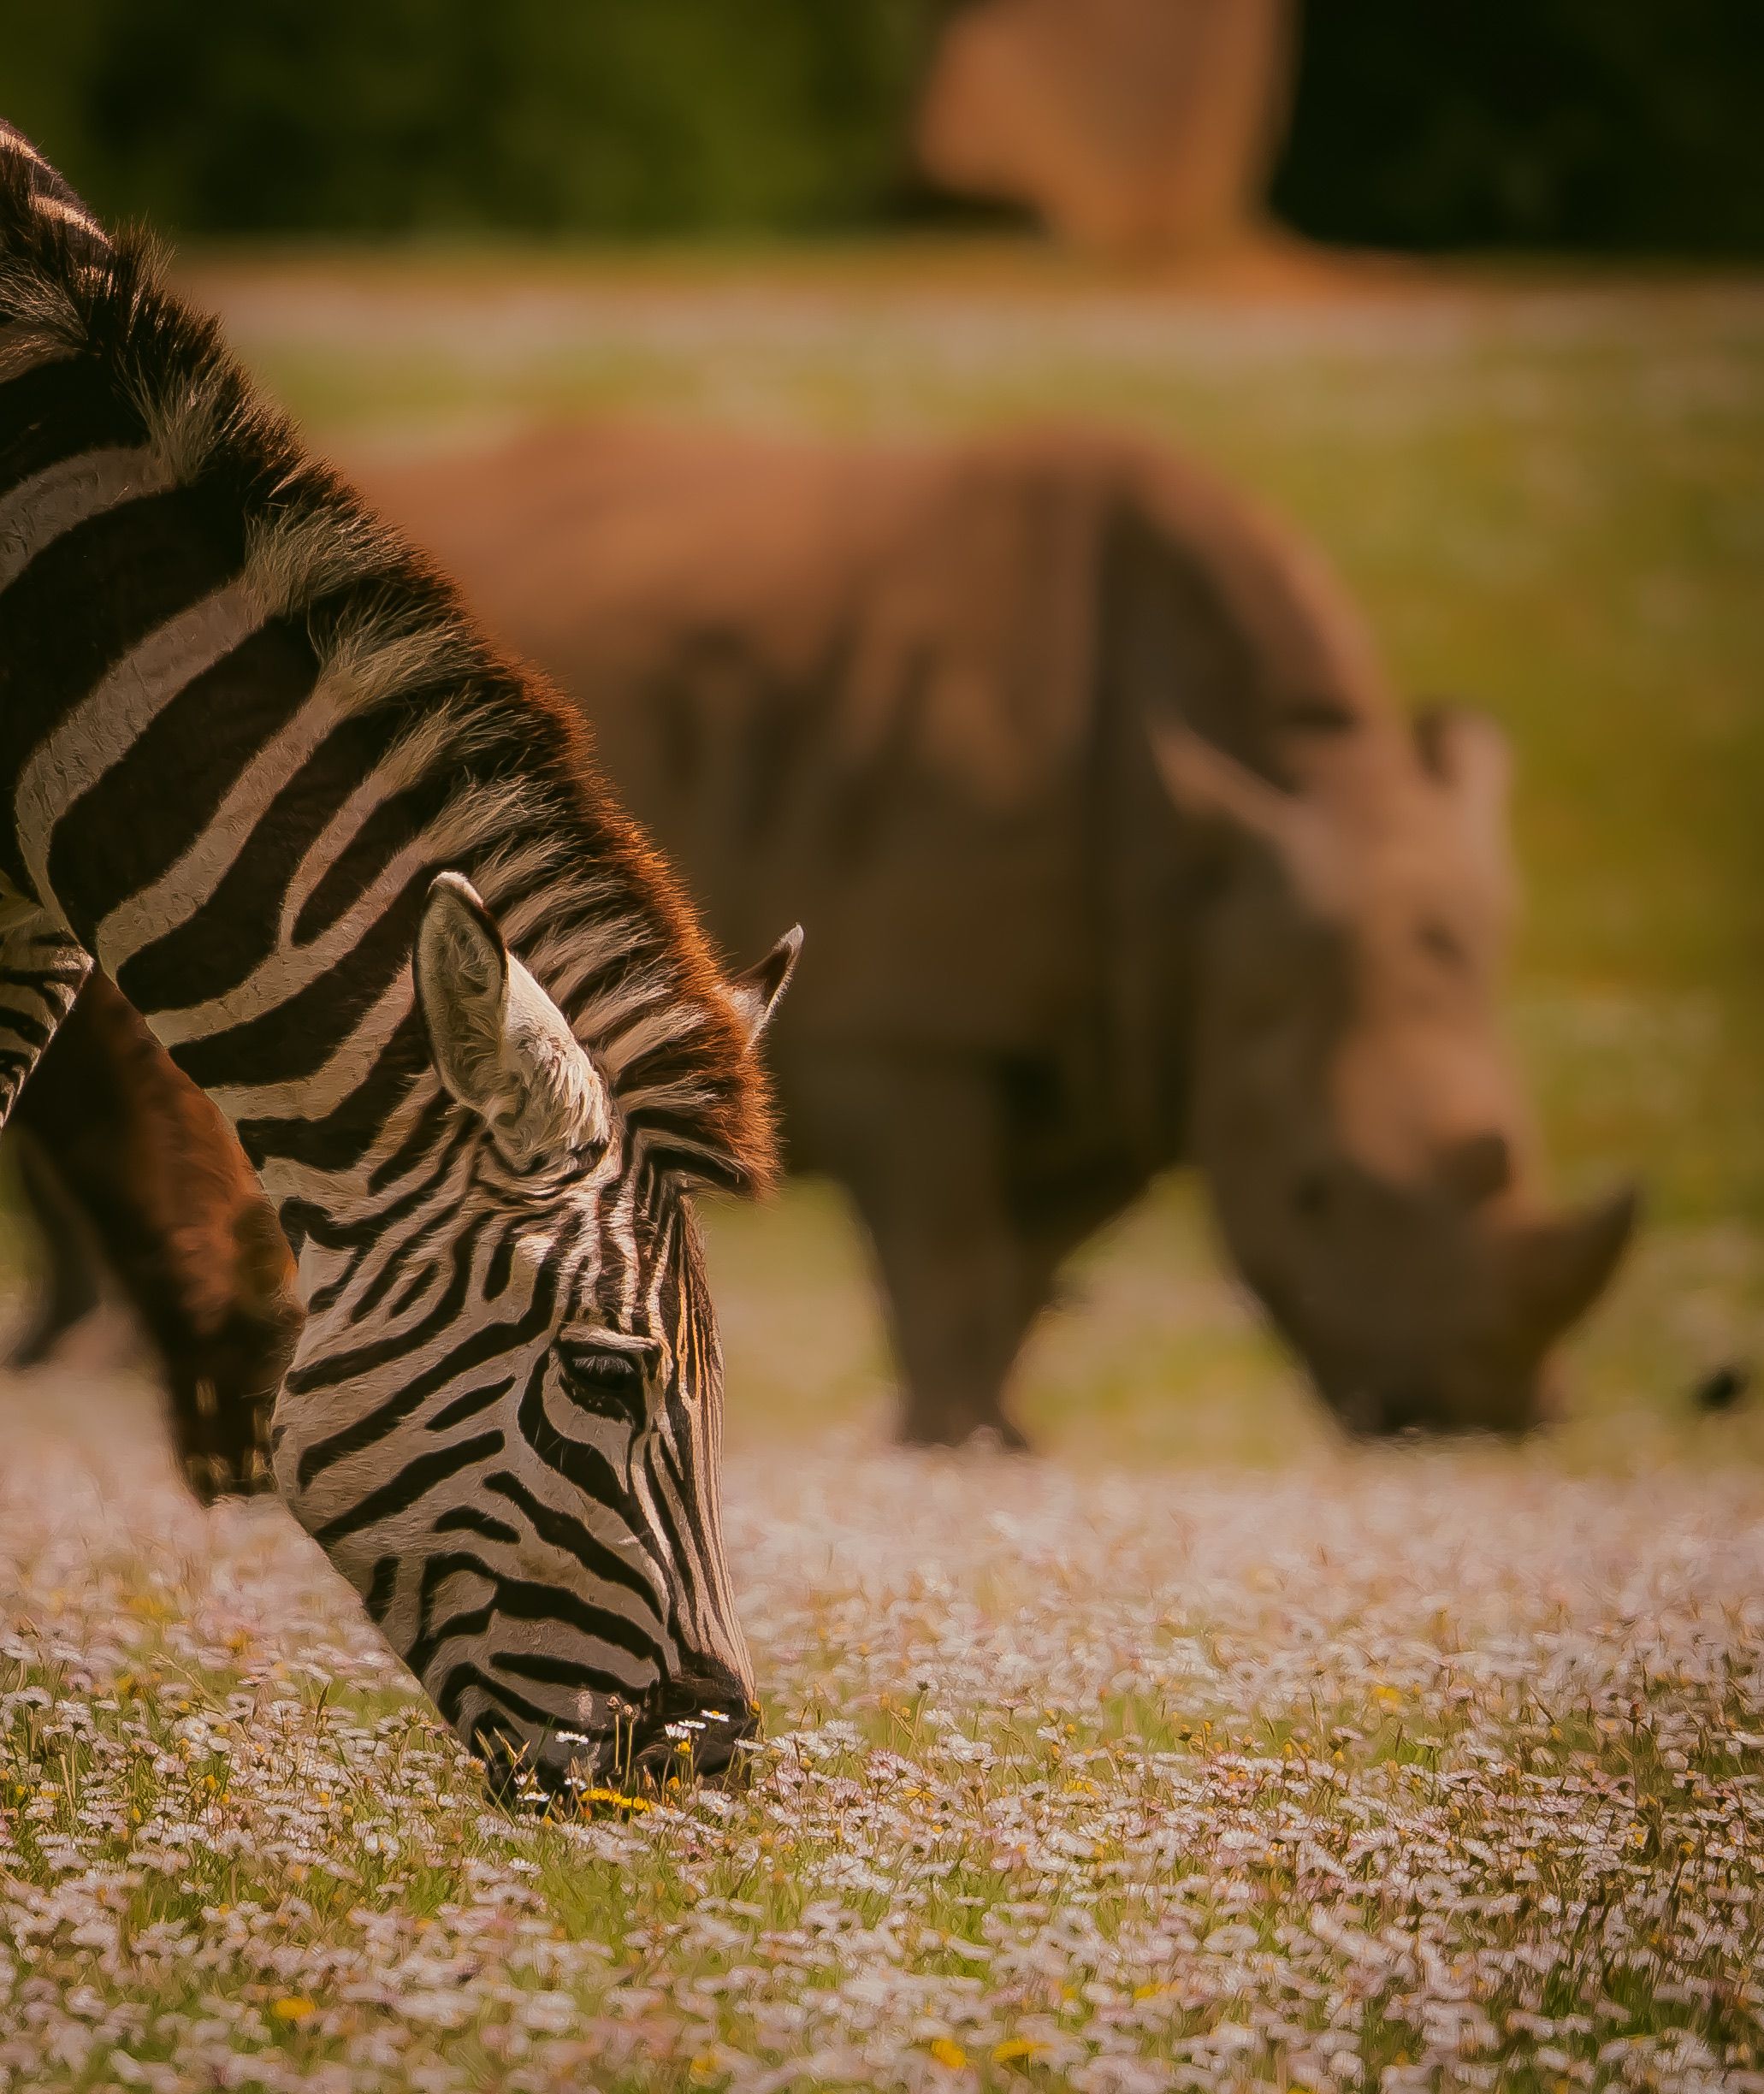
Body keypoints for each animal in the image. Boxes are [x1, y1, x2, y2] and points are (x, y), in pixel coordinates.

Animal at [11, 425, 1635, 1449]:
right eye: (1315, 1195)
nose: (1475, 1419)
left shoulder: (1125, 1031)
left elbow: (1021, 1264)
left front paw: (992, 1437)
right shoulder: (913, 1033)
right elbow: (950, 1250)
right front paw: (949, 1444)